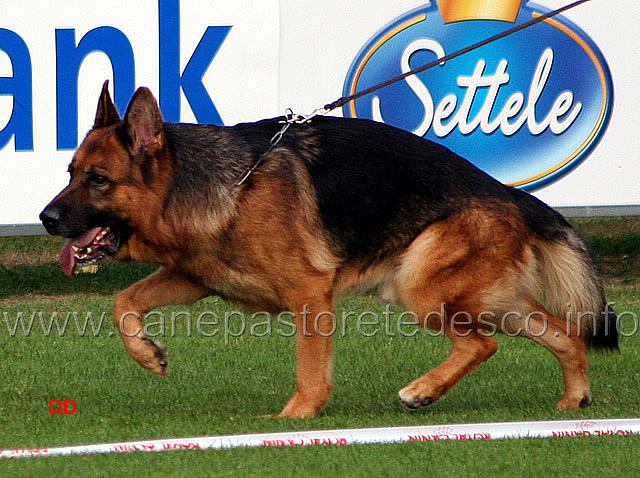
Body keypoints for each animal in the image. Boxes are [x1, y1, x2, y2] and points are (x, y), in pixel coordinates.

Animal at [38, 82, 616, 418]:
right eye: (69, 174)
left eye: (98, 180)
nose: (46, 220)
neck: (220, 186)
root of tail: (511, 193)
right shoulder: (196, 277)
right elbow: (124, 303)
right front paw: (147, 353)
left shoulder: (309, 294)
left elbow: (310, 369)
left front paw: (295, 419)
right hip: (485, 298)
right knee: (564, 333)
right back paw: (574, 399)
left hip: (419, 288)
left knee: (482, 344)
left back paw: (422, 391)